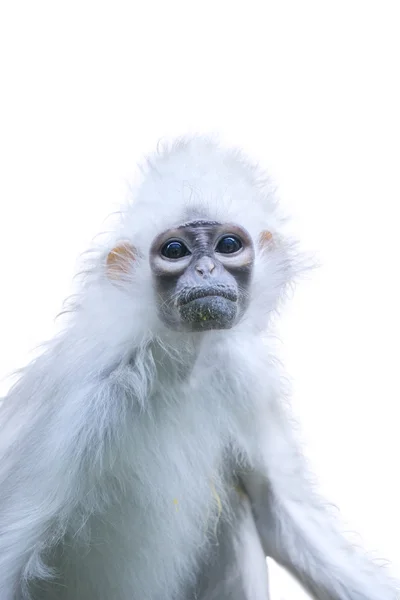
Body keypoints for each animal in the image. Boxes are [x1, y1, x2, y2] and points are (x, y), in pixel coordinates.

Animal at [0, 137, 396, 600]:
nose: (206, 270)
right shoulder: (79, 401)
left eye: (228, 245)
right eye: (175, 251)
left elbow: (279, 510)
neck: (177, 364)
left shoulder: (243, 375)